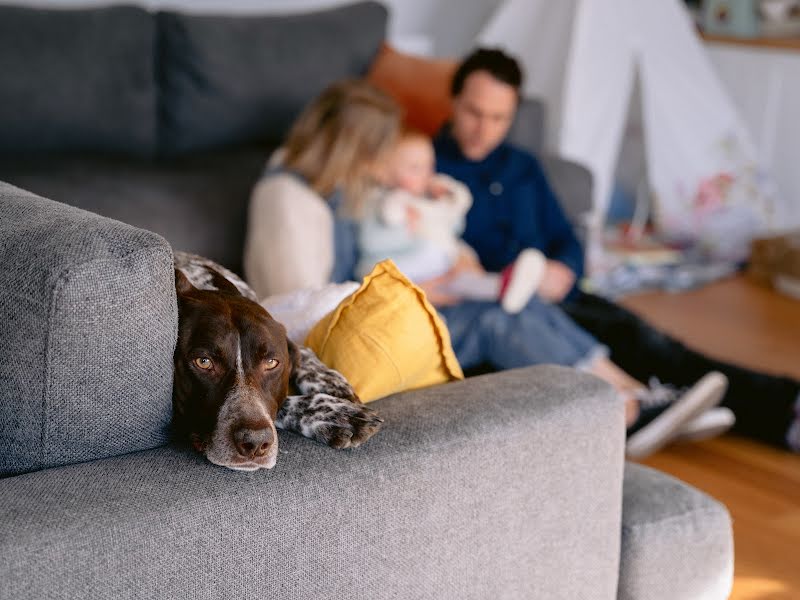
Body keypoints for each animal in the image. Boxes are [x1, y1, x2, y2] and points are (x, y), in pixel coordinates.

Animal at [173, 251, 384, 472]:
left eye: (271, 363)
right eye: (203, 362)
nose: (254, 442)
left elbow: (301, 351)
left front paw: (329, 383)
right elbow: (285, 403)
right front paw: (334, 415)